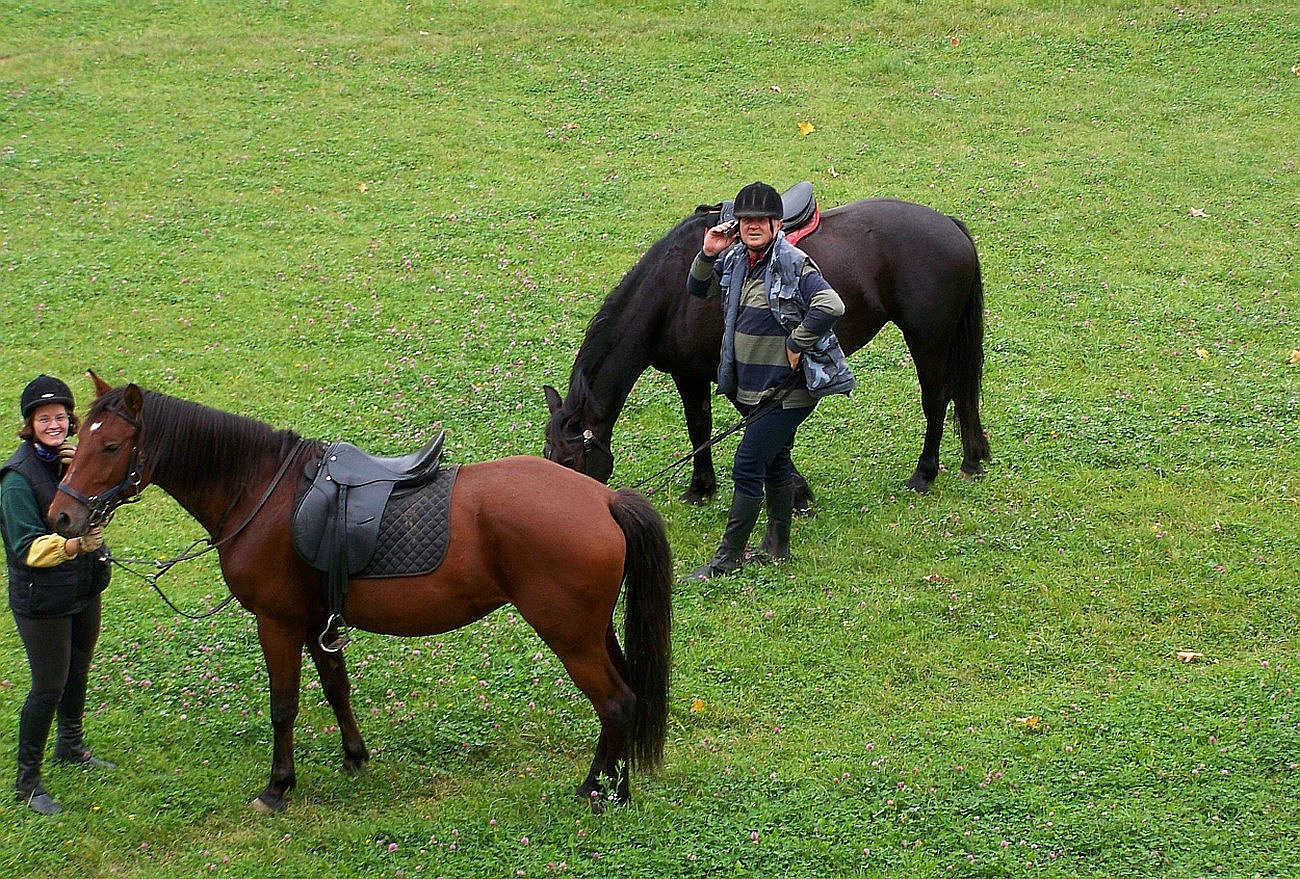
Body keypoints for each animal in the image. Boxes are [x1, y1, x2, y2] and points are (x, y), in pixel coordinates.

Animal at [45, 371, 676, 811]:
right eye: (78, 438)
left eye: (109, 447)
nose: (62, 518)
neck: (261, 492)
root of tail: (604, 498)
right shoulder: (314, 622)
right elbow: (336, 690)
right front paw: (354, 759)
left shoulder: (276, 622)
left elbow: (283, 705)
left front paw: (278, 787)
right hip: (594, 630)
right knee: (626, 698)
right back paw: (613, 787)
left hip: (568, 633)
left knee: (616, 702)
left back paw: (597, 792)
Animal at [543, 196, 987, 504]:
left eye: (569, 462)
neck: (671, 293)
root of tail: (950, 226)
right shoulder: (688, 374)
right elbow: (699, 425)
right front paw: (701, 488)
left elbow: (756, 424)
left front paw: (796, 490)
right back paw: (971, 458)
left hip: (928, 340)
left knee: (936, 401)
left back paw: (924, 474)